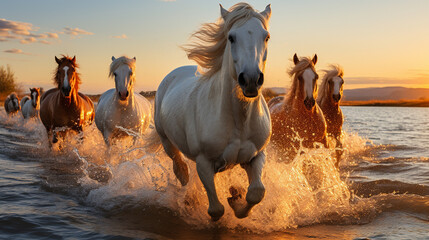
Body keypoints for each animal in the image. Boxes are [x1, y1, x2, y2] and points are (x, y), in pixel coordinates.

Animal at [154, 3, 270, 221]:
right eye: (231, 37)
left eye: (266, 36)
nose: (251, 79)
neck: (238, 121)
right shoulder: (203, 162)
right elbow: (216, 209)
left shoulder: (256, 156)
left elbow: (257, 192)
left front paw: (236, 198)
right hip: (166, 141)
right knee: (180, 168)